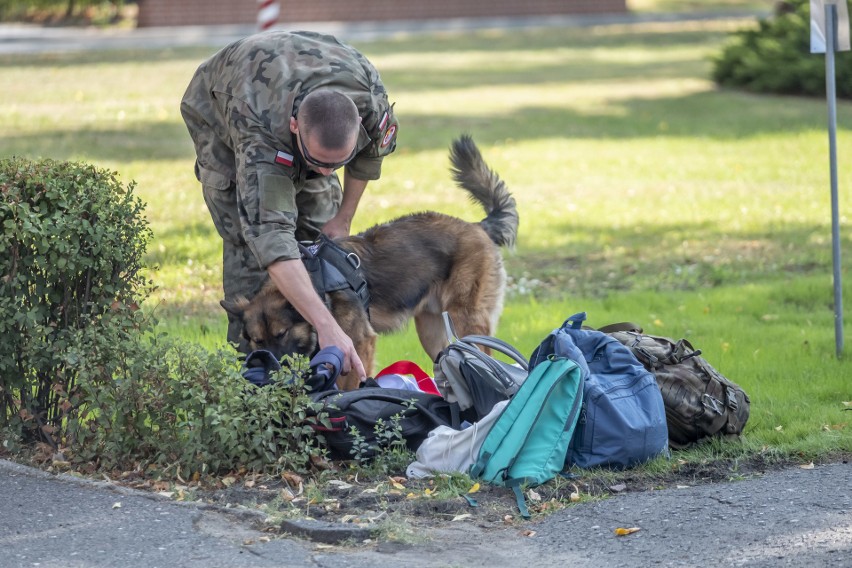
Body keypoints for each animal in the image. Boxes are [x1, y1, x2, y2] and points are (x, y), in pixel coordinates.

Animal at [221, 135, 520, 388]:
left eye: (282, 333)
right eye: (258, 341)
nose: (273, 374)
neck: (318, 286)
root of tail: (478, 226)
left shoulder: (357, 347)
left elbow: (348, 387)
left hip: (466, 320)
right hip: (432, 330)